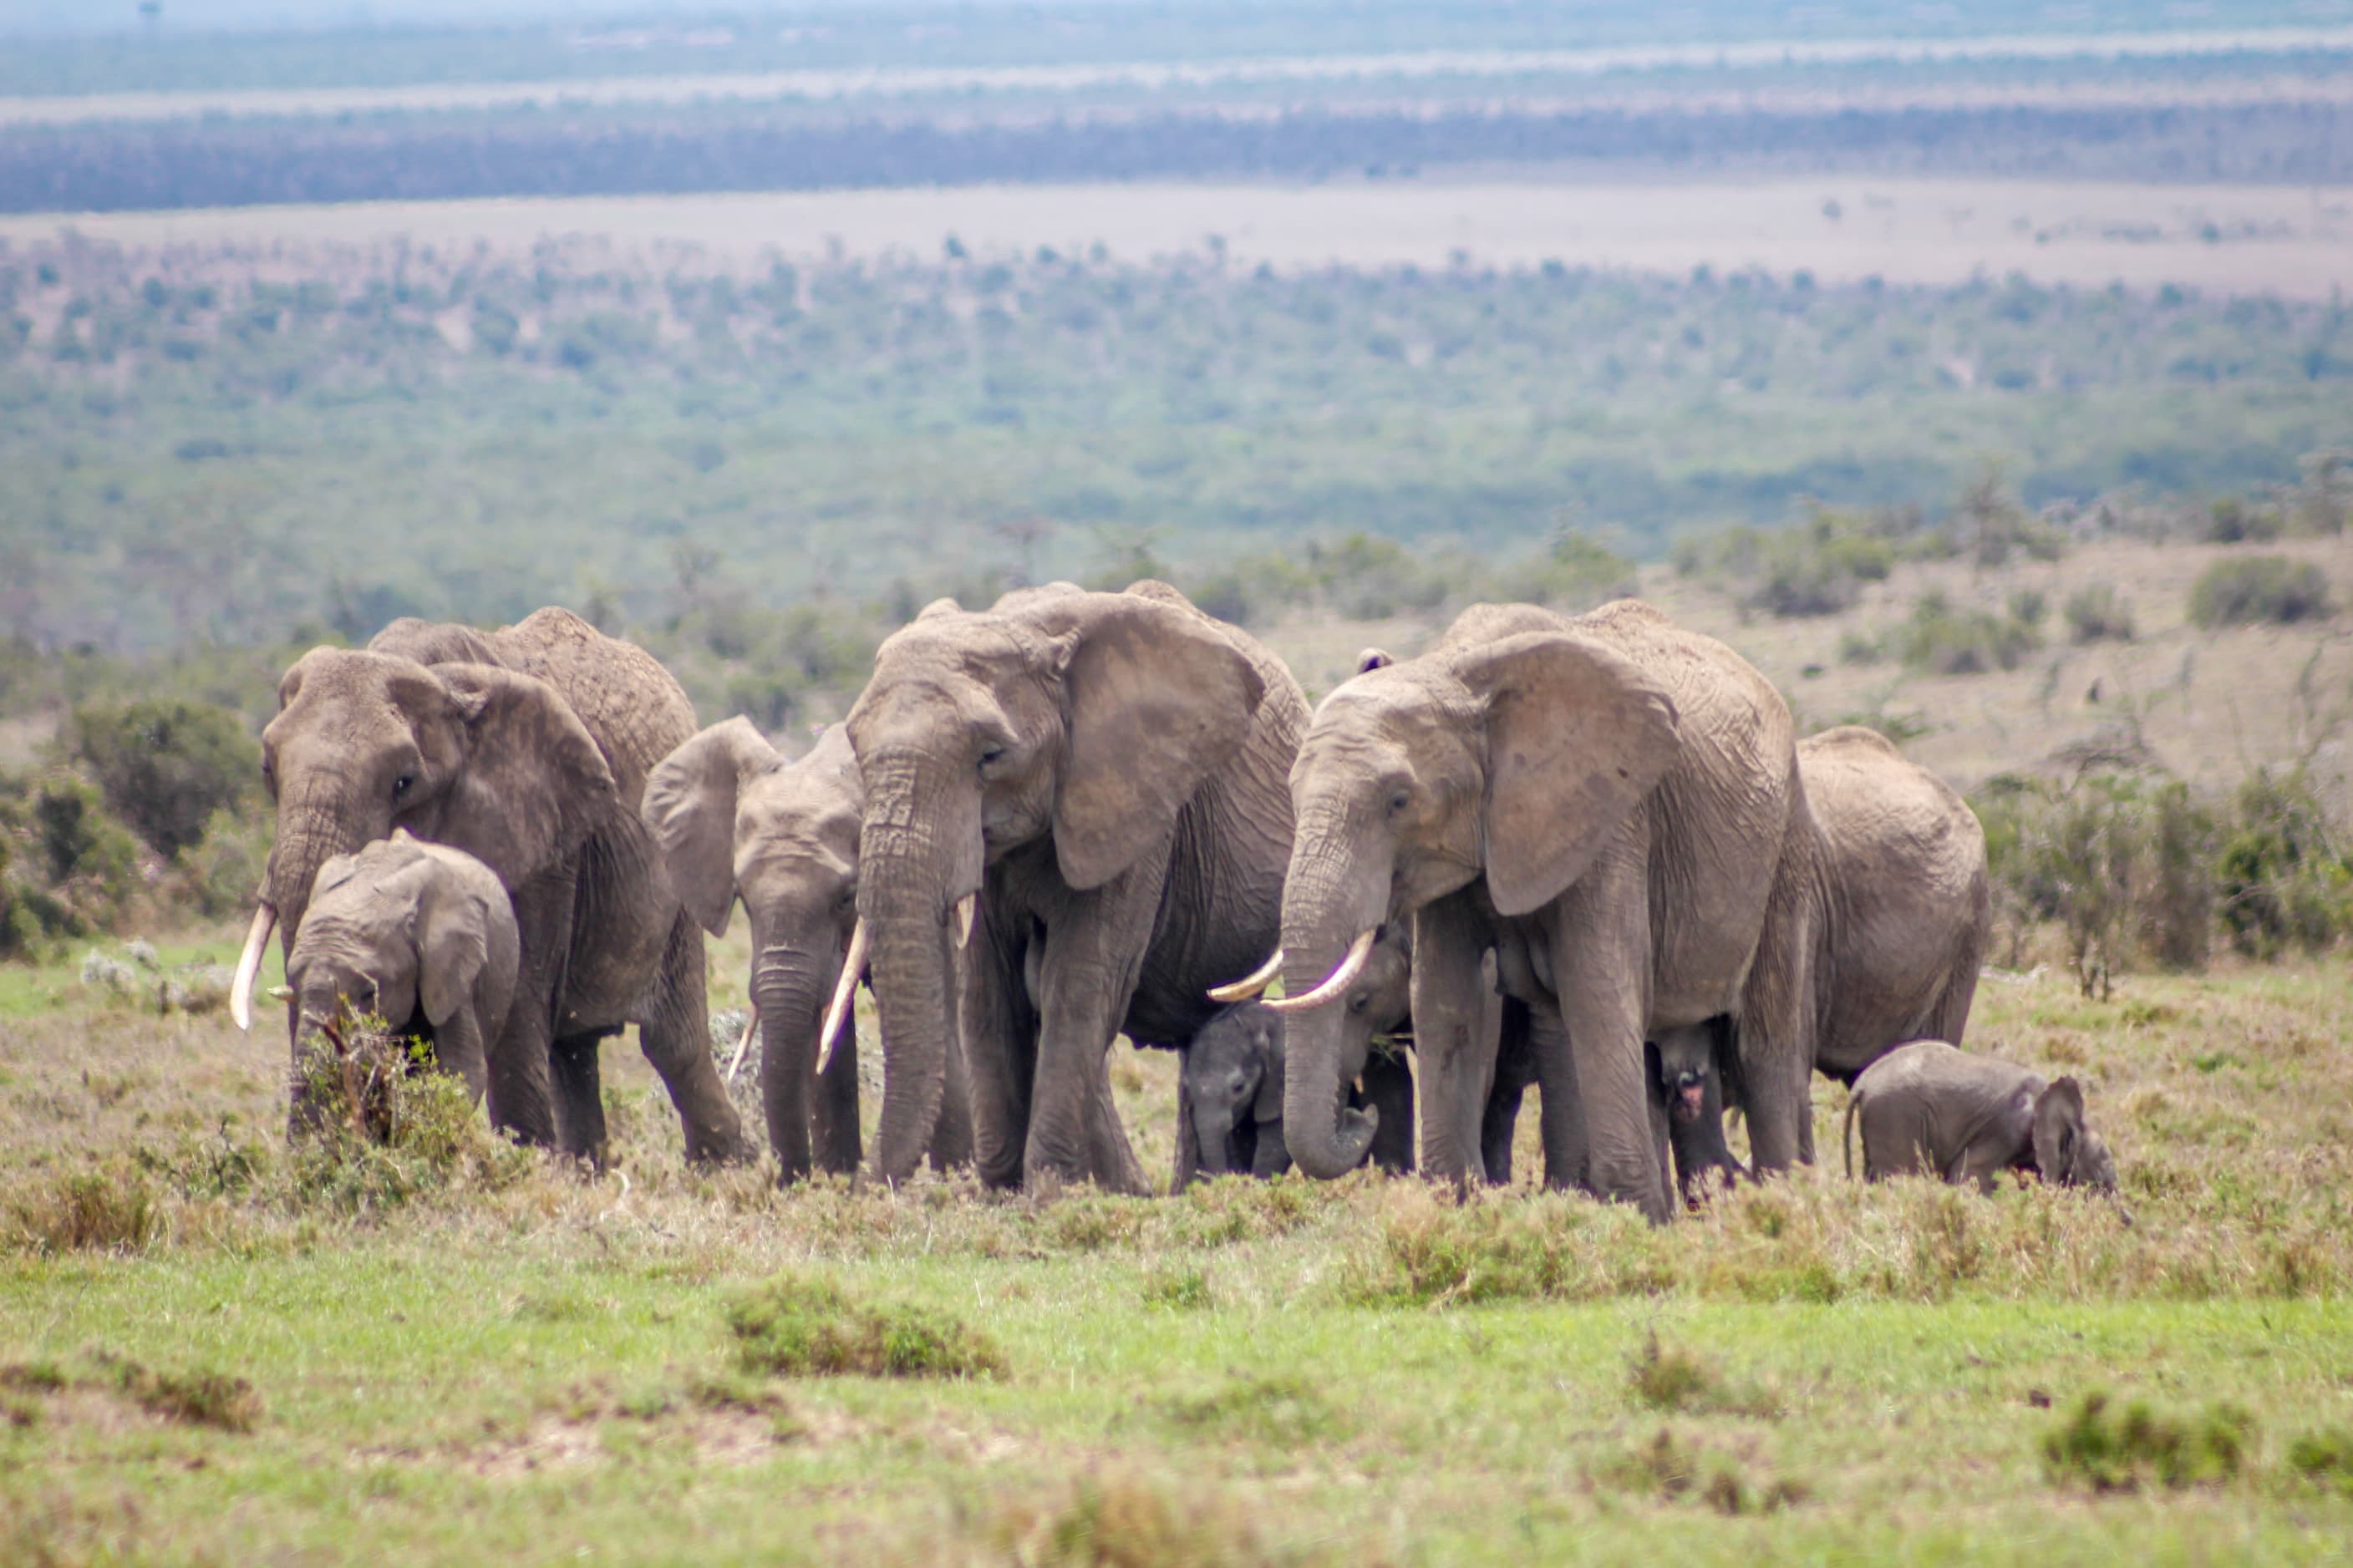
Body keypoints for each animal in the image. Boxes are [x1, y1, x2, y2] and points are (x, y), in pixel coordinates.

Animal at [842, 579, 1306, 1192]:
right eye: (854, 749)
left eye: (991, 756)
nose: (864, 1187)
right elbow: (988, 993)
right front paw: (1001, 1193)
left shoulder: (1133, 807)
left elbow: (1080, 981)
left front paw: (1047, 1193)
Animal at [1260, 599, 1813, 1222]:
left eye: (1398, 801)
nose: (1359, 1114)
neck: (1454, 671)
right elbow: (1447, 1001)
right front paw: (1459, 1209)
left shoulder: (1610, 821)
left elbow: (1596, 991)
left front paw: (1629, 1223)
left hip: (1786, 844)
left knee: (1764, 1044)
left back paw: (1779, 1206)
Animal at [1843, 1039, 2119, 1196]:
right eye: (2101, 1166)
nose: (2126, 1222)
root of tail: (1863, 1082)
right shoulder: (2006, 1131)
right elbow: (1966, 1175)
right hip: (1896, 1116)